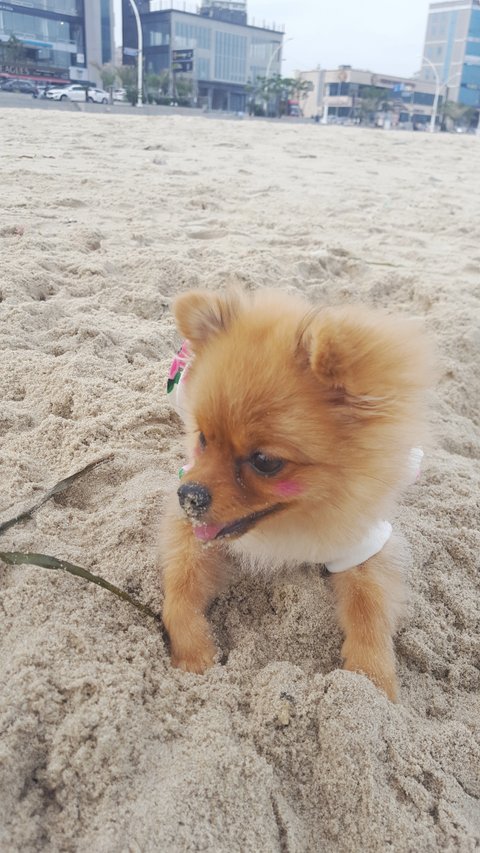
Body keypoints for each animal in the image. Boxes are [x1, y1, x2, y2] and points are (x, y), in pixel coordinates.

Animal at [160, 288, 432, 701]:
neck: (292, 521)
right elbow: (179, 591)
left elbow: (369, 606)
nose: (189, 495)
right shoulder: (193, 529)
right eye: (202, 438)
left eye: (265, 462)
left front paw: (370, 681)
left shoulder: (362, 542)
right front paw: (194, 653)